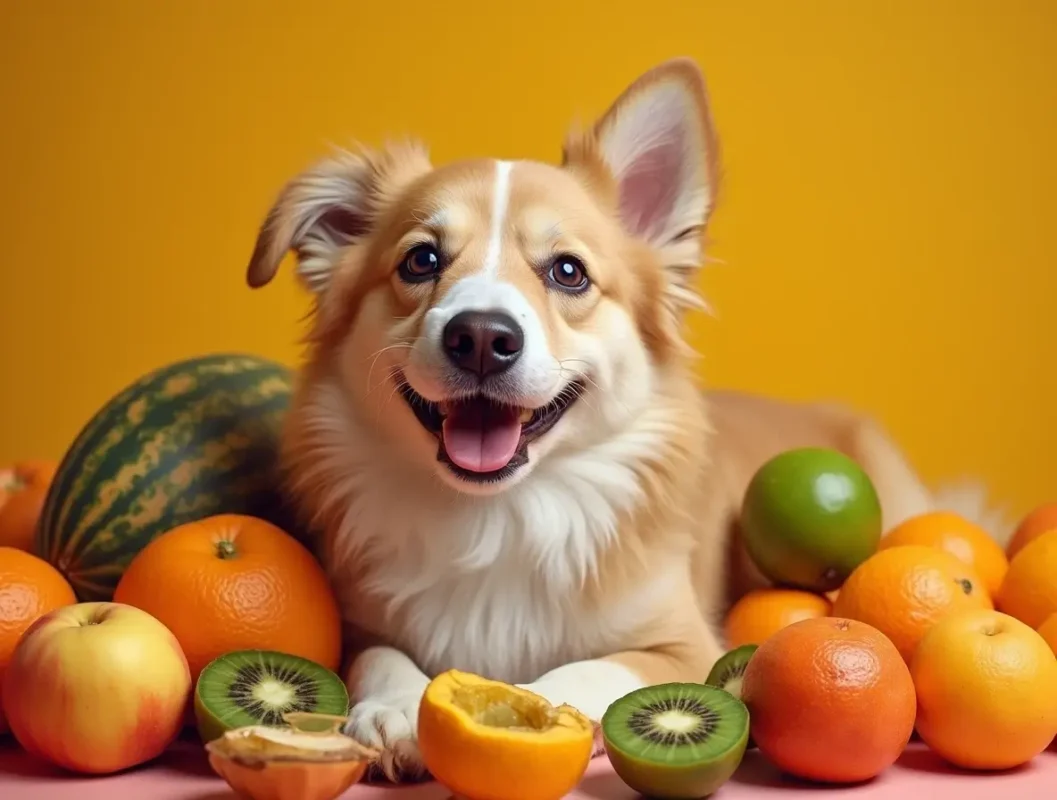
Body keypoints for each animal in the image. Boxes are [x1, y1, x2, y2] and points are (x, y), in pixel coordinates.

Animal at [242, 60, 1006, 782]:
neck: (500, 513)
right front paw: (398, 708)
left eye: (568, 272)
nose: (482, 336)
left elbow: (588, 669)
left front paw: (527, 707)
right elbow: (377, 655)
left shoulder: (684, 646)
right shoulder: (353, 621)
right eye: (421, 260)